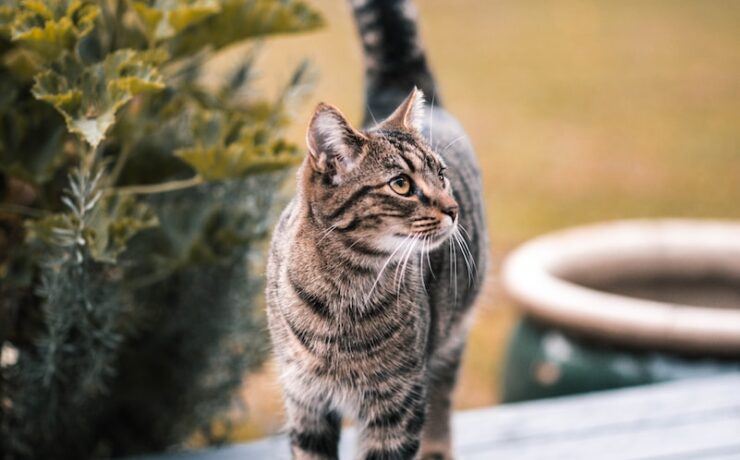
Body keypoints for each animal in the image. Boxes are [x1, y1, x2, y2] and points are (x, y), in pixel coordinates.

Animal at [264, 0, 486, 460]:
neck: (344, 294)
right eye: (401, 184)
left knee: (443, 399)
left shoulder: (397, 404)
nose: (453, 208)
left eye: (441, 175)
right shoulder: (305, 400)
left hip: (452, 335)